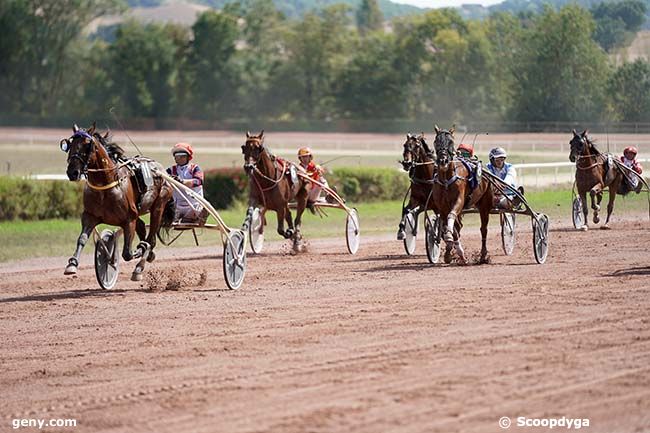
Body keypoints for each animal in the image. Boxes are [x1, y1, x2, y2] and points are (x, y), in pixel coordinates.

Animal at [61, 122, 173, 280]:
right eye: (70, 144)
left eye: (87, 144)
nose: (73, 172)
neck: (105, 185)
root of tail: (161, 169)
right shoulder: (90, 216)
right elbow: (82, 238)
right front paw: (72, 264)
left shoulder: (128, 220)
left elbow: (127, 253)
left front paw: (139, 250)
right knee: (142, 227)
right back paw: (149, 255)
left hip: (159, 205)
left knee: (151, 238)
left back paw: (139, 267)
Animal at [430, 125, 492, 264]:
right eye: (436, 141)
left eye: (451, 142)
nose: (443, 160)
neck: (446, 180)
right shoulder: (442, 207)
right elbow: (451, 226)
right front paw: (450, 252)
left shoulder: (458, 201)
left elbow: (451, 217)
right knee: (458, 227)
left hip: (485, 205)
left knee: (483, 229)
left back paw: (483, 255)